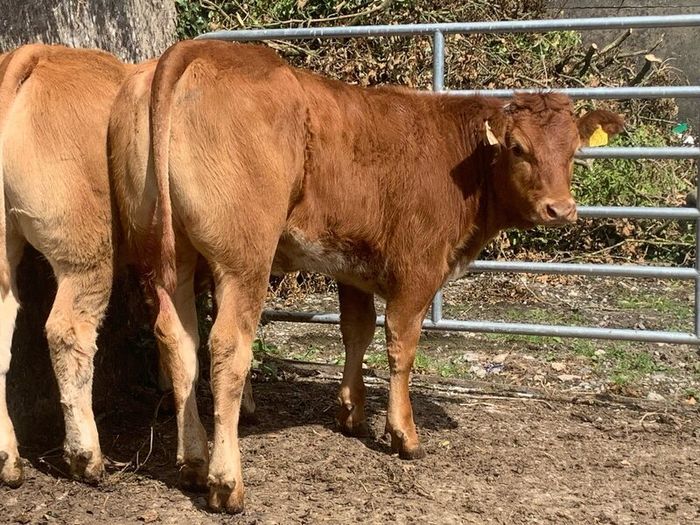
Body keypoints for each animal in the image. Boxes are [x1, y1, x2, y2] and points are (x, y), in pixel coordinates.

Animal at [108, 39, 623, 513]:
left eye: (574, 151)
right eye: (518, 149)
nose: (561, 210)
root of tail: (197, 49)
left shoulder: (351, 266)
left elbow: (356, 332)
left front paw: (351, 411)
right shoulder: (417, 270)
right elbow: (401, 345)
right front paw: (404, 434)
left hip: (167, 253)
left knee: (178, 341)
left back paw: (193, 463)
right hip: (244, 259)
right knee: (227, 346)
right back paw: (226, 482)